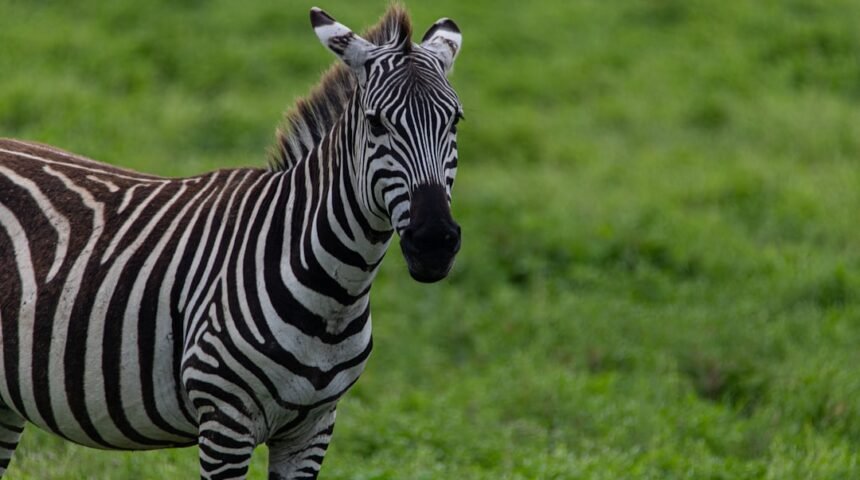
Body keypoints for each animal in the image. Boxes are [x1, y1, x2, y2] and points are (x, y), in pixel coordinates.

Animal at [0, 5, 463, 479]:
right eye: (376, 123)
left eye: (456, 120)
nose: (434, 242)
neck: (336, 291)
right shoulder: (225, 420)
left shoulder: (313, 427)